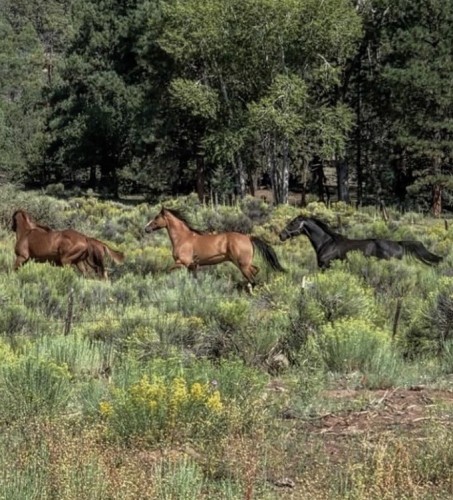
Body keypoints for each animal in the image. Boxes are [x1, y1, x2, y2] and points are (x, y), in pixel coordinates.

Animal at [144, 207, 284, 286]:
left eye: (156, 217)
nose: (146, 228)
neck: (183, 238)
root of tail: (248, 238)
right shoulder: (192, 266)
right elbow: (194, 280)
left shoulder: (182, 262)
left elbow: (168, 271)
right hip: (244, 263)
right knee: (255, 271)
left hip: (242, 265)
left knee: (252, 279)